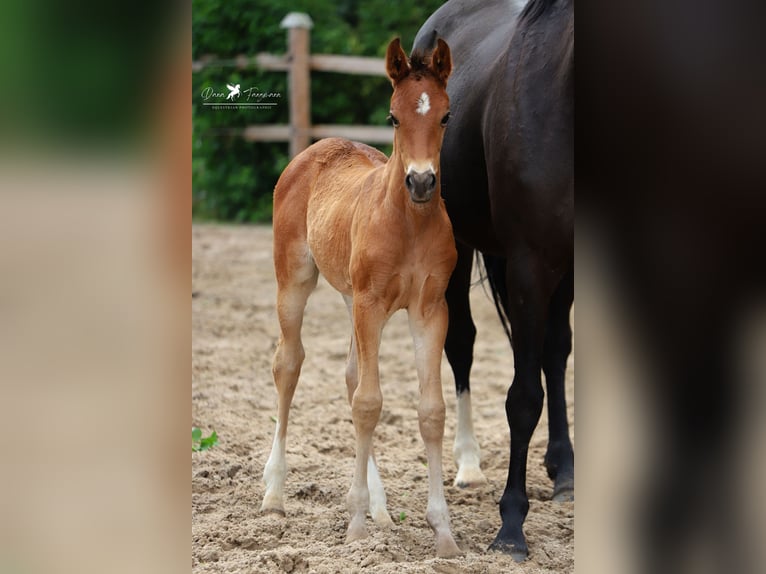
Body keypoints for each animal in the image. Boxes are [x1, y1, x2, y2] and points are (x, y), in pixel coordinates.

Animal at [260, 38, 460, 560]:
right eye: (393, 117)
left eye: (446, 115)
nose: (421, 182)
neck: (409, 223)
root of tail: (316, 148)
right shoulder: (372, 303)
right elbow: (369, 404)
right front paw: (354, 526)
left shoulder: (430, 310)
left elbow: (430, 411)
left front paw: (442, 530)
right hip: (295, 282)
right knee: (289, 363)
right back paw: (274, 495)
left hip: (352, 300)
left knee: (352, 376)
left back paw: (380, 506)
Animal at [416, 0, 572, 564]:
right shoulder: (530, 264)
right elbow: (522, 398)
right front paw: (510, 528)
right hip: (459, 247)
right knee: (461, 344)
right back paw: (468, 464)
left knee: (555, 351)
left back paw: (565, 468)